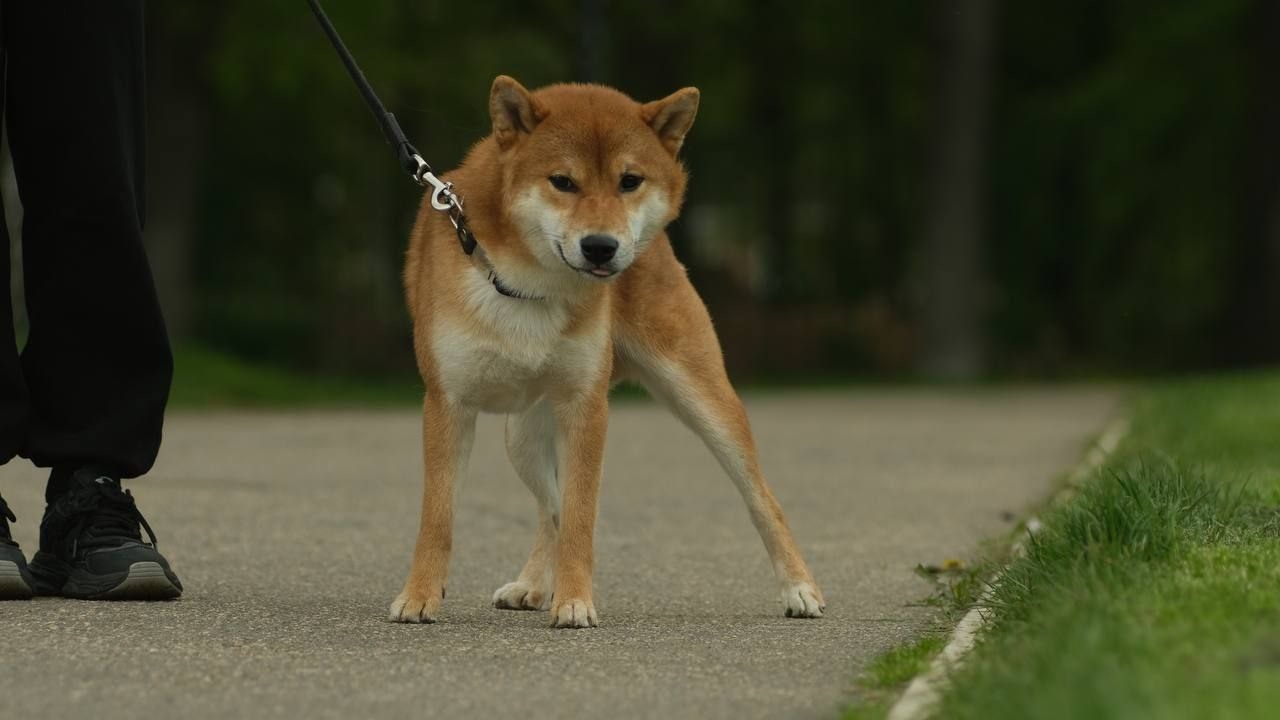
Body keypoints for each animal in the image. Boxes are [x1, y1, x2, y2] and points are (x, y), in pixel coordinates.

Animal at [390, 76, 825, 627]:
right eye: (562, 182)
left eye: (629, 181)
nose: (601, 247)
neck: (530, 286)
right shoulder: (447, 403)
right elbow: (440, 515)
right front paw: (420, 595)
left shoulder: (587, 406)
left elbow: (580, 517)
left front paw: (575, 601)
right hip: (522, 437)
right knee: (549, 510)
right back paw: (534, 585)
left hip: (702, 399)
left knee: (762, 499)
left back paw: (800, 588)